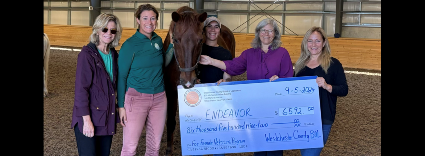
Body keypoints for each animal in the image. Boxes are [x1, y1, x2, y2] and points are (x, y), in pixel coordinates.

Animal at [161, 5, 235, 155]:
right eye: (176, 40)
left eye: (200, 40)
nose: (188, 82)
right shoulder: (170, 92)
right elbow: (170, 122)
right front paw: (168, 150)